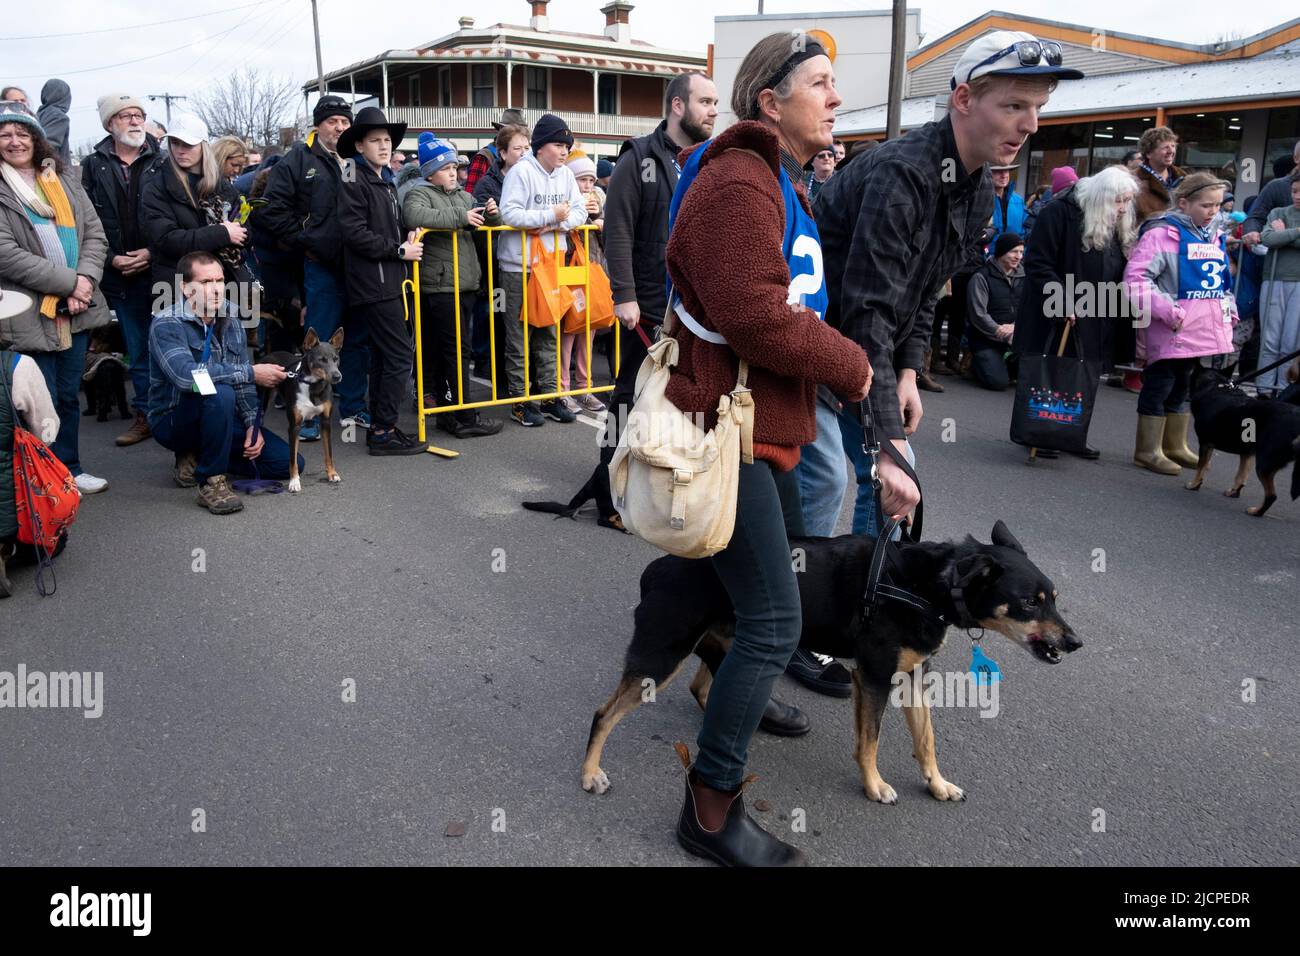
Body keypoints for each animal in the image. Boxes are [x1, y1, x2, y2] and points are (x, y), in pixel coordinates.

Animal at [256, 329, 340, 494]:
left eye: (336, 359)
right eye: (321, 360)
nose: (337, 376)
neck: (313, 386)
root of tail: (270, 353)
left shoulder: (326, 422)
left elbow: (329, 452)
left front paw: (332, 474)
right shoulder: (294, 425)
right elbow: (292, 458)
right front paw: (294, 481)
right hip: (263, 398)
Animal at [585, 522, 1081, 806]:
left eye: (1054, 598)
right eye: (1029, 602)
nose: (1075, 642)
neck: (928, 585)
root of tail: (659, 566)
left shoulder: (913, 677)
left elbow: (926, 740)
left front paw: (937, 784)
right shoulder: (875, 676)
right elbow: (870, 742)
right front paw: (874, 785)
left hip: (731, 638)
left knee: (704, 689)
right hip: (661, 656)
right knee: (604, 715)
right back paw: (590, 773)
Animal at [1190, 366, 1300, 515]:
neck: (1214, 386)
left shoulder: (1205, 443)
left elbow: (1201, 466)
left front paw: (1194, 485)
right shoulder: (1247, 453)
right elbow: (1241, 475)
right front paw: (1234, 492)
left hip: (1264, 465)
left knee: (1271, 495)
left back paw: (1256, 512)